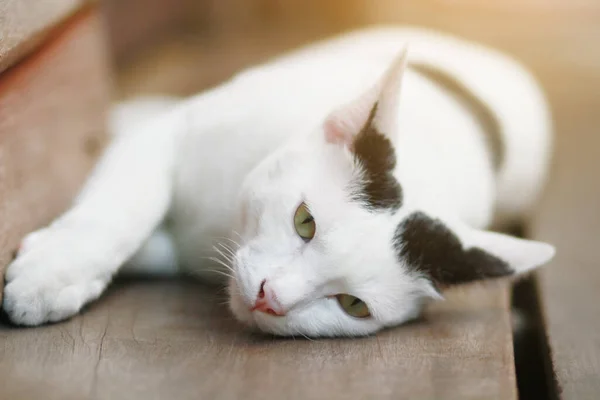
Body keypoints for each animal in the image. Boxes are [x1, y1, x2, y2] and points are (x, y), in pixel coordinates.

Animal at [1, 25, 552, 338]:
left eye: (353, 305)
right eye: (305, 221)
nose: (271, 298)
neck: (219, 226)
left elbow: (148, 244)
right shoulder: (172, 130)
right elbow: (124, 207)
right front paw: (53, 271)